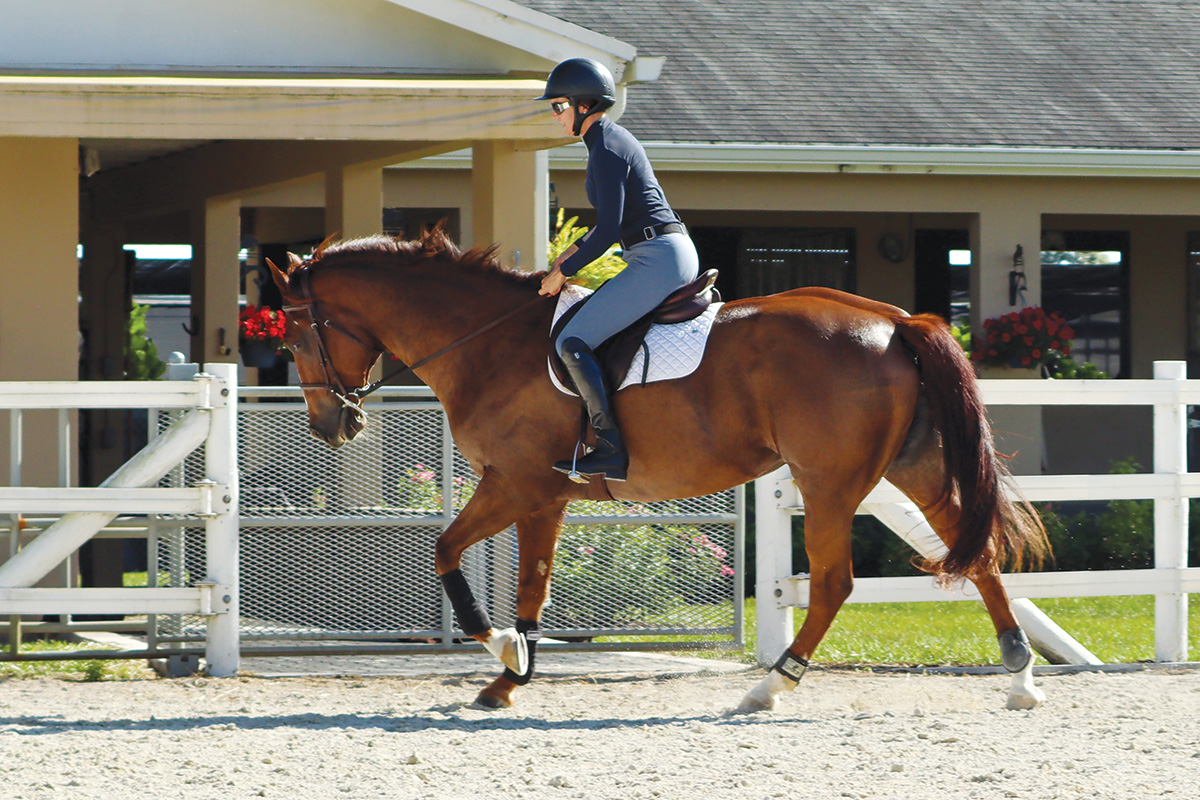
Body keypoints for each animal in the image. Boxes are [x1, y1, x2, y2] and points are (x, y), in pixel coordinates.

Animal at [265, 226, 1051, 714]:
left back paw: (771, 686)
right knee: (978, 556)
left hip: (829, 482)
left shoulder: (515, 482)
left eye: (296, 335)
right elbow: (533, 587)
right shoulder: (545, 496)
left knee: (833, 582)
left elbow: (445, 551)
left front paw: (501, 651)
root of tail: (893, 321)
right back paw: (1020, 677)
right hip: (916, 469)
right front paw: (510, 678)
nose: (333, 425)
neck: (486, 341)